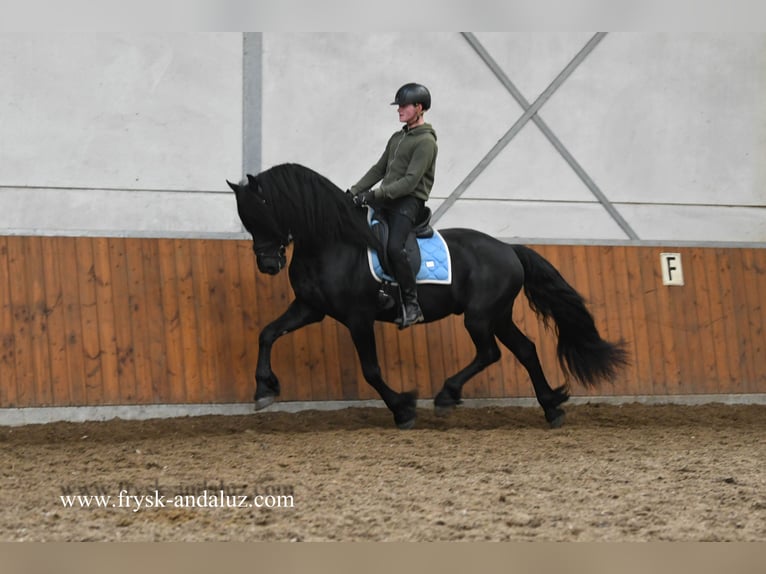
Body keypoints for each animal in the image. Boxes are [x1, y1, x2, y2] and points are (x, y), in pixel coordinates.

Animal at [230, 164, 632, 430]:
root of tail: (509, 249)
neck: (333, 242)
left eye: (262, 212)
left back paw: (447, 396)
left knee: (491, 353)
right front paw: (264, 389)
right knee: (526, 350)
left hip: (480, 316)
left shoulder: (357, 317)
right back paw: (551, 408)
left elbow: (371, 370)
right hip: (498, 315)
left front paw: (403, 409)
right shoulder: (310, 308)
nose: (268, 264)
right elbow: (267, 333)